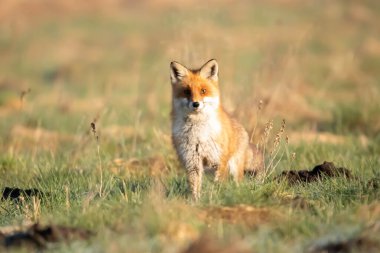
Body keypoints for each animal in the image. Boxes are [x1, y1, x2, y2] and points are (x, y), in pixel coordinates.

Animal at [171, 58, 262, 200]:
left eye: (203, 91)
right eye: (187, 91)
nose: (196, 104)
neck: (198, 134)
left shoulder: (219, 161)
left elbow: (217, 185)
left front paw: (215, 198)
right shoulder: (192, 162)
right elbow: (195, 188)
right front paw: (196, 202)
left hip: (234, 167)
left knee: (238, 183)